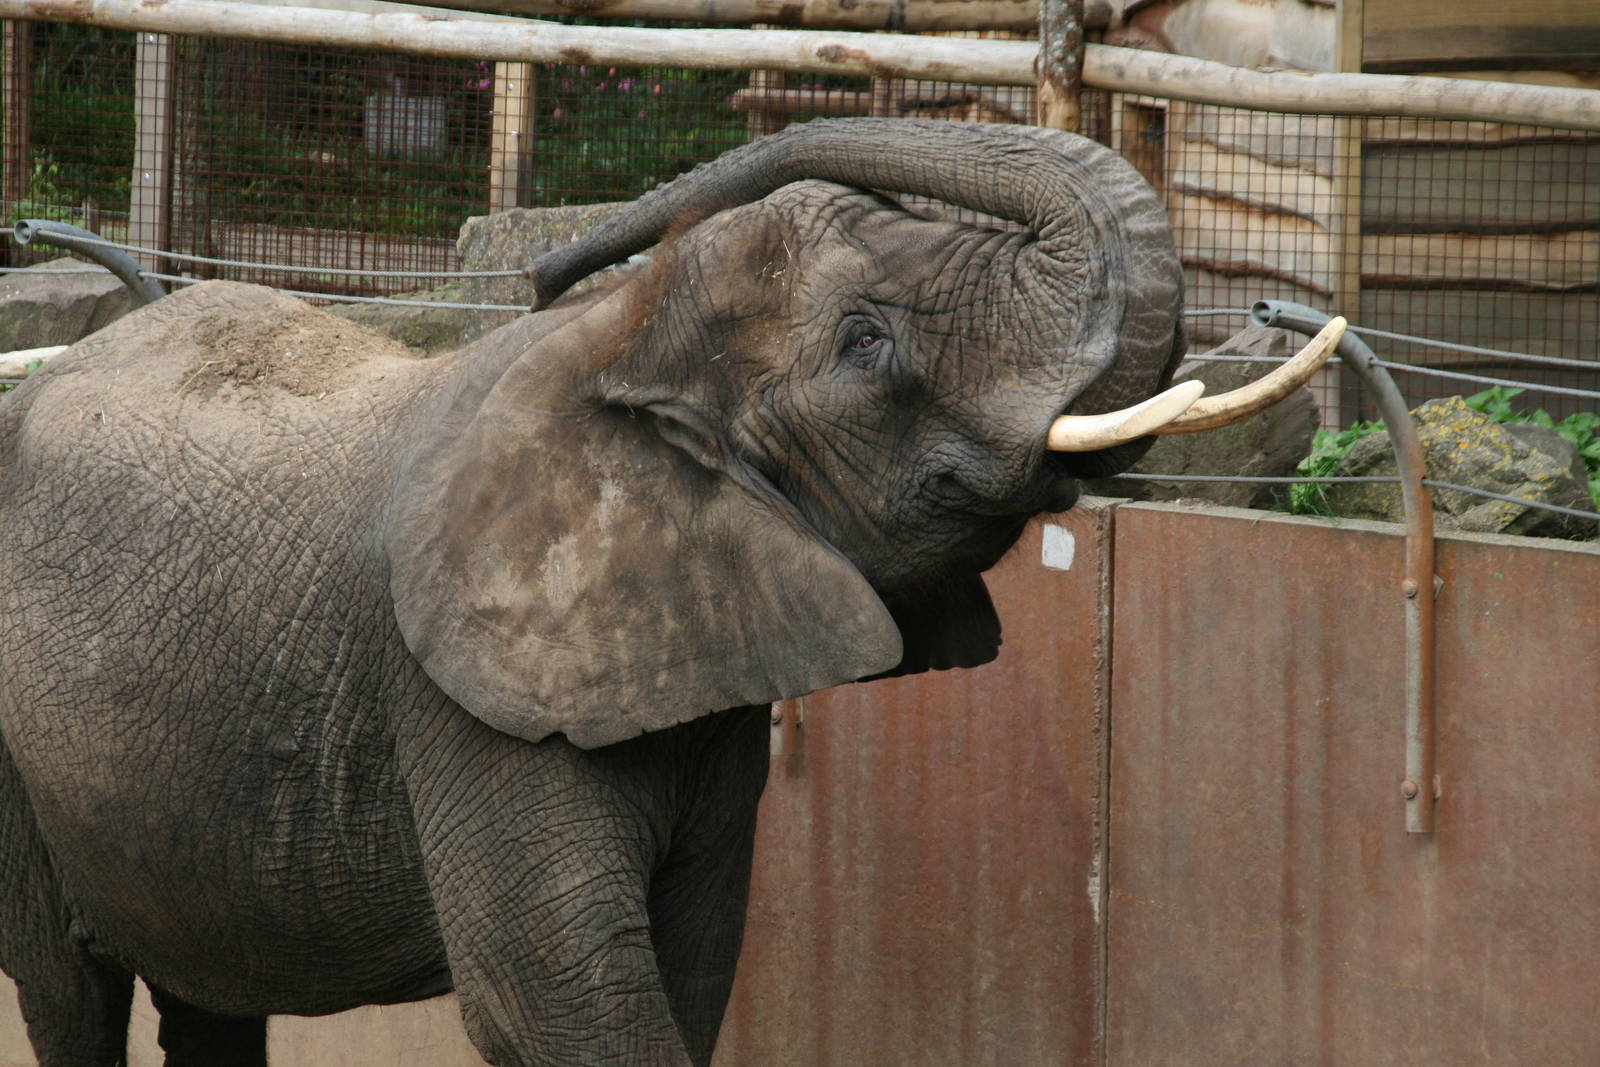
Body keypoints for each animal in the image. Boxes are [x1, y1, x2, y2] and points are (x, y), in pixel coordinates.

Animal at [0, 119, 1337, 1066]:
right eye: (864, 344)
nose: (545, 263)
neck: (615, 342)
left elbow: (695, 964)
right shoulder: (462, 701)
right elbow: (555, 994)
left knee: (207, 994)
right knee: (68, 994)